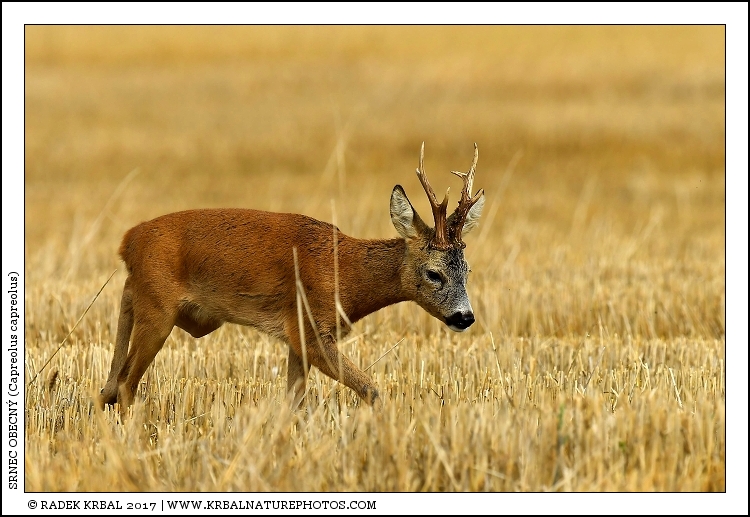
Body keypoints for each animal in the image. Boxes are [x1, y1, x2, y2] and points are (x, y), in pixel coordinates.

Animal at [98, 143, 485, 411]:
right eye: (433, 273)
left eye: (467, 270)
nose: (465, 317)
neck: (347, 274)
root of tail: (128, 241)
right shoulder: (310, 328)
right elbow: (371, 389)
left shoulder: (296, 334)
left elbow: (292, 402)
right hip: (157, 309)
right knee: (126, 385)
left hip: (139, 301)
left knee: (109, 387)